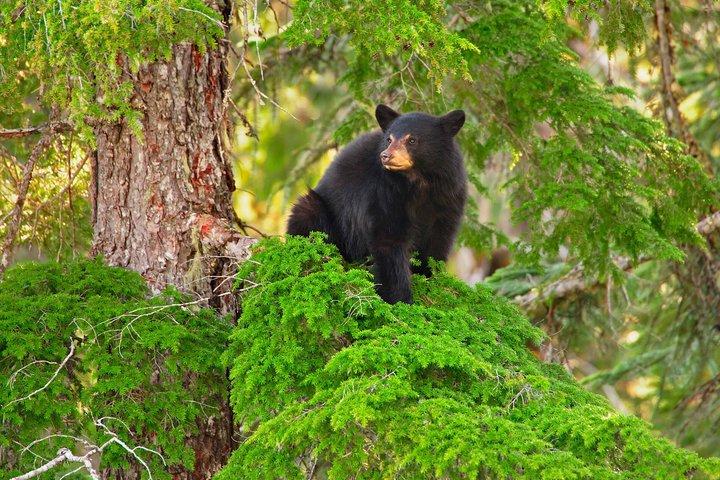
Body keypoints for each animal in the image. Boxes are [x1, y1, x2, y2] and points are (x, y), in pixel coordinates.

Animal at [286, 104, 467, 304]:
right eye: (389, 139)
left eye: (412, 140)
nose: (385, 155)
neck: (418, 183)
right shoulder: (384, 193)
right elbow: (388, 239)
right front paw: (401, 299)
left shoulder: (448, 198)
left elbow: (438, 241)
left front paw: (428, 277)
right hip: (321, 214)